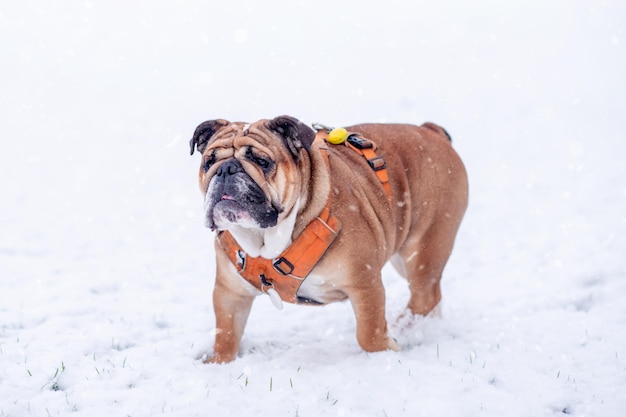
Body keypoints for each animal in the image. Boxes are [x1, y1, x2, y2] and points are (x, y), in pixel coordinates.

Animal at [188, 115, 466, 362]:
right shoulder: (230, 292)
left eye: (262, 161)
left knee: (423, 295)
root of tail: (430, 130)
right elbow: (226, 334)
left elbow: (369, 334)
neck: (266, 239)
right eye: (208, 162)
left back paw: (407, 329)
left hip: (425, 246)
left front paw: (385, 353)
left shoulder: (364, 283)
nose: (226, 169)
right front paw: (218, 363)